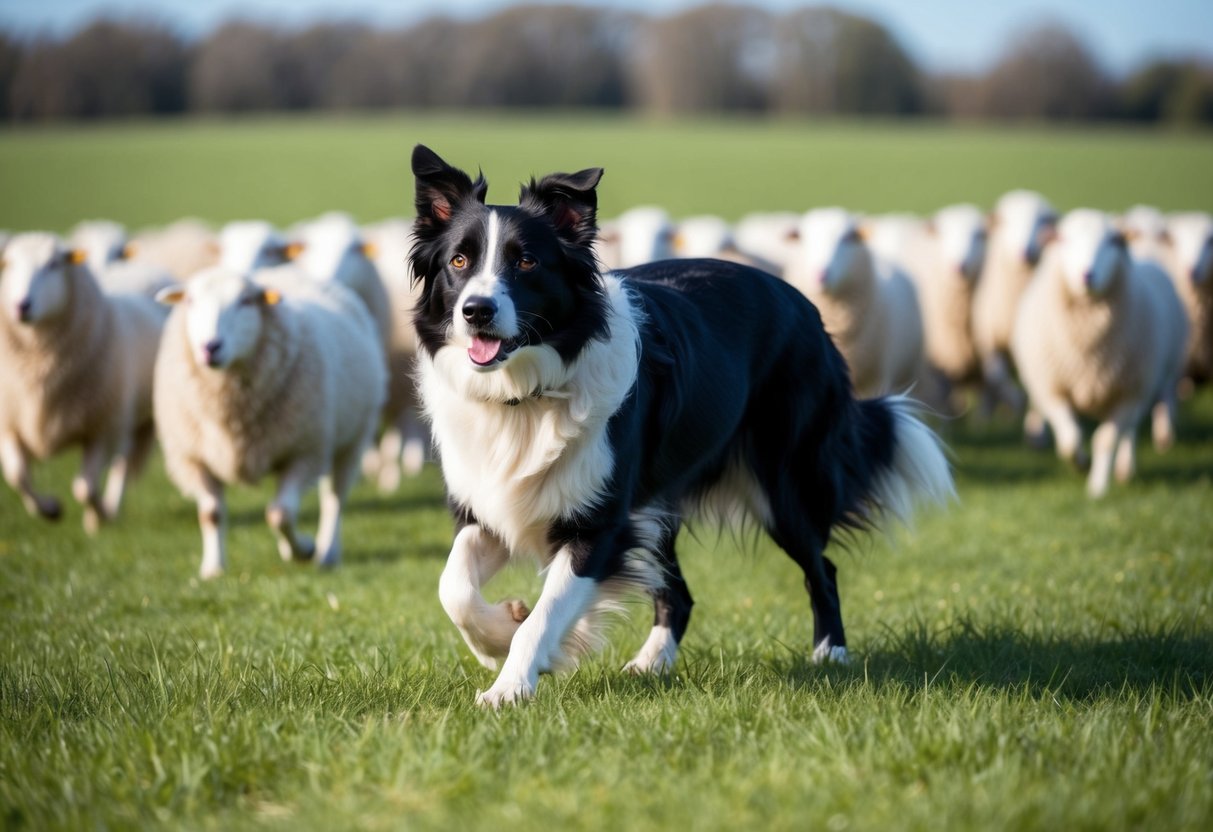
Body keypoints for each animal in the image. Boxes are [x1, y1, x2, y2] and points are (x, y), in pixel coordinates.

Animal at [0, 232, 164, 531]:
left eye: (53, 264)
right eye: (8, 264)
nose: (21, 305)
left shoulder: (103, 428)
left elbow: (84, 488)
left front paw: (98, 515)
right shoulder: (9, 423)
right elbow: (17, 476)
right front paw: (50, 509)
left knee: (122, 465)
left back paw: (109, 507)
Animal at [154, 266, 387, 578]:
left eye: (246, 302)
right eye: (190, 301)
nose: (210, 347)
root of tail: (285, 271)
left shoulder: (304, 452)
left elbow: (279, 514)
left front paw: (303, 550)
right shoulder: (192, 458)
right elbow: (211, 514)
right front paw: (213, 568)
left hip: (353, 439)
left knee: (334, 499)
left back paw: (327, 552)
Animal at [972, 190, 1058, 416]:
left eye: (1042, 222)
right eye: (1008, 222)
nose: (1024, 252)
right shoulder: (989, 339)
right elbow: (998, 377)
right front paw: (1016, 402)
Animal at [1011, 209, 1188, 498]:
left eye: (1112, 241)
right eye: (1064, 239)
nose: (1087, 274)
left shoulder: (1127, 392)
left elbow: (1105, 441)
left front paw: (1097, 488)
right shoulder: (1052, 389)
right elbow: (1070, 440)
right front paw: (1080, 464)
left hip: (1147, 384)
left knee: (1130, 430)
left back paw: (1125, 468)